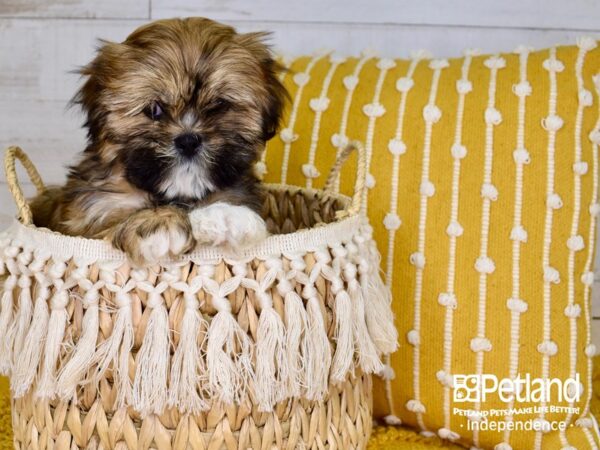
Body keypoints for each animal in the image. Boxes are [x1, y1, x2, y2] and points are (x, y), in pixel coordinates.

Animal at [29, 18, 288, 268]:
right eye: (154, 109)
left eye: (218, 106)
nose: (188, 140)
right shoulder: (86, 217)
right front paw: (158, 224)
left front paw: (227, 216)